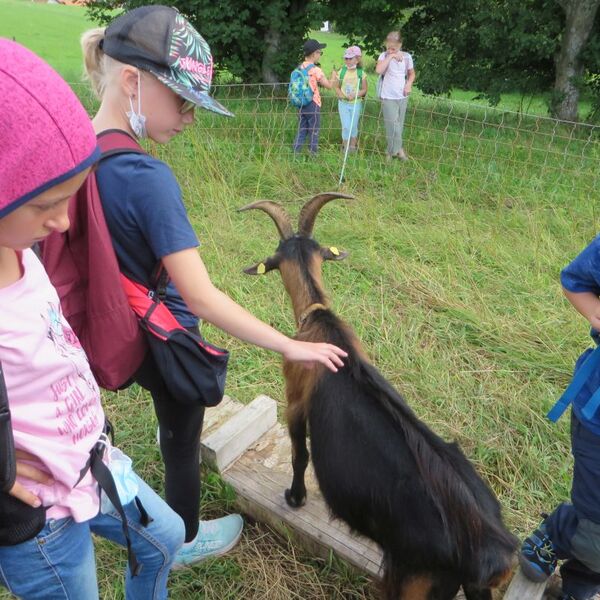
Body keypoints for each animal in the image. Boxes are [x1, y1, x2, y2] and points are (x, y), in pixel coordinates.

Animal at [238, 193, 516, 600]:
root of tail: (492, 554)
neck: (320, 320)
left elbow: (299, 454)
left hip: (417, 580)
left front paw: (295, 498)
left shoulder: (294, 401)